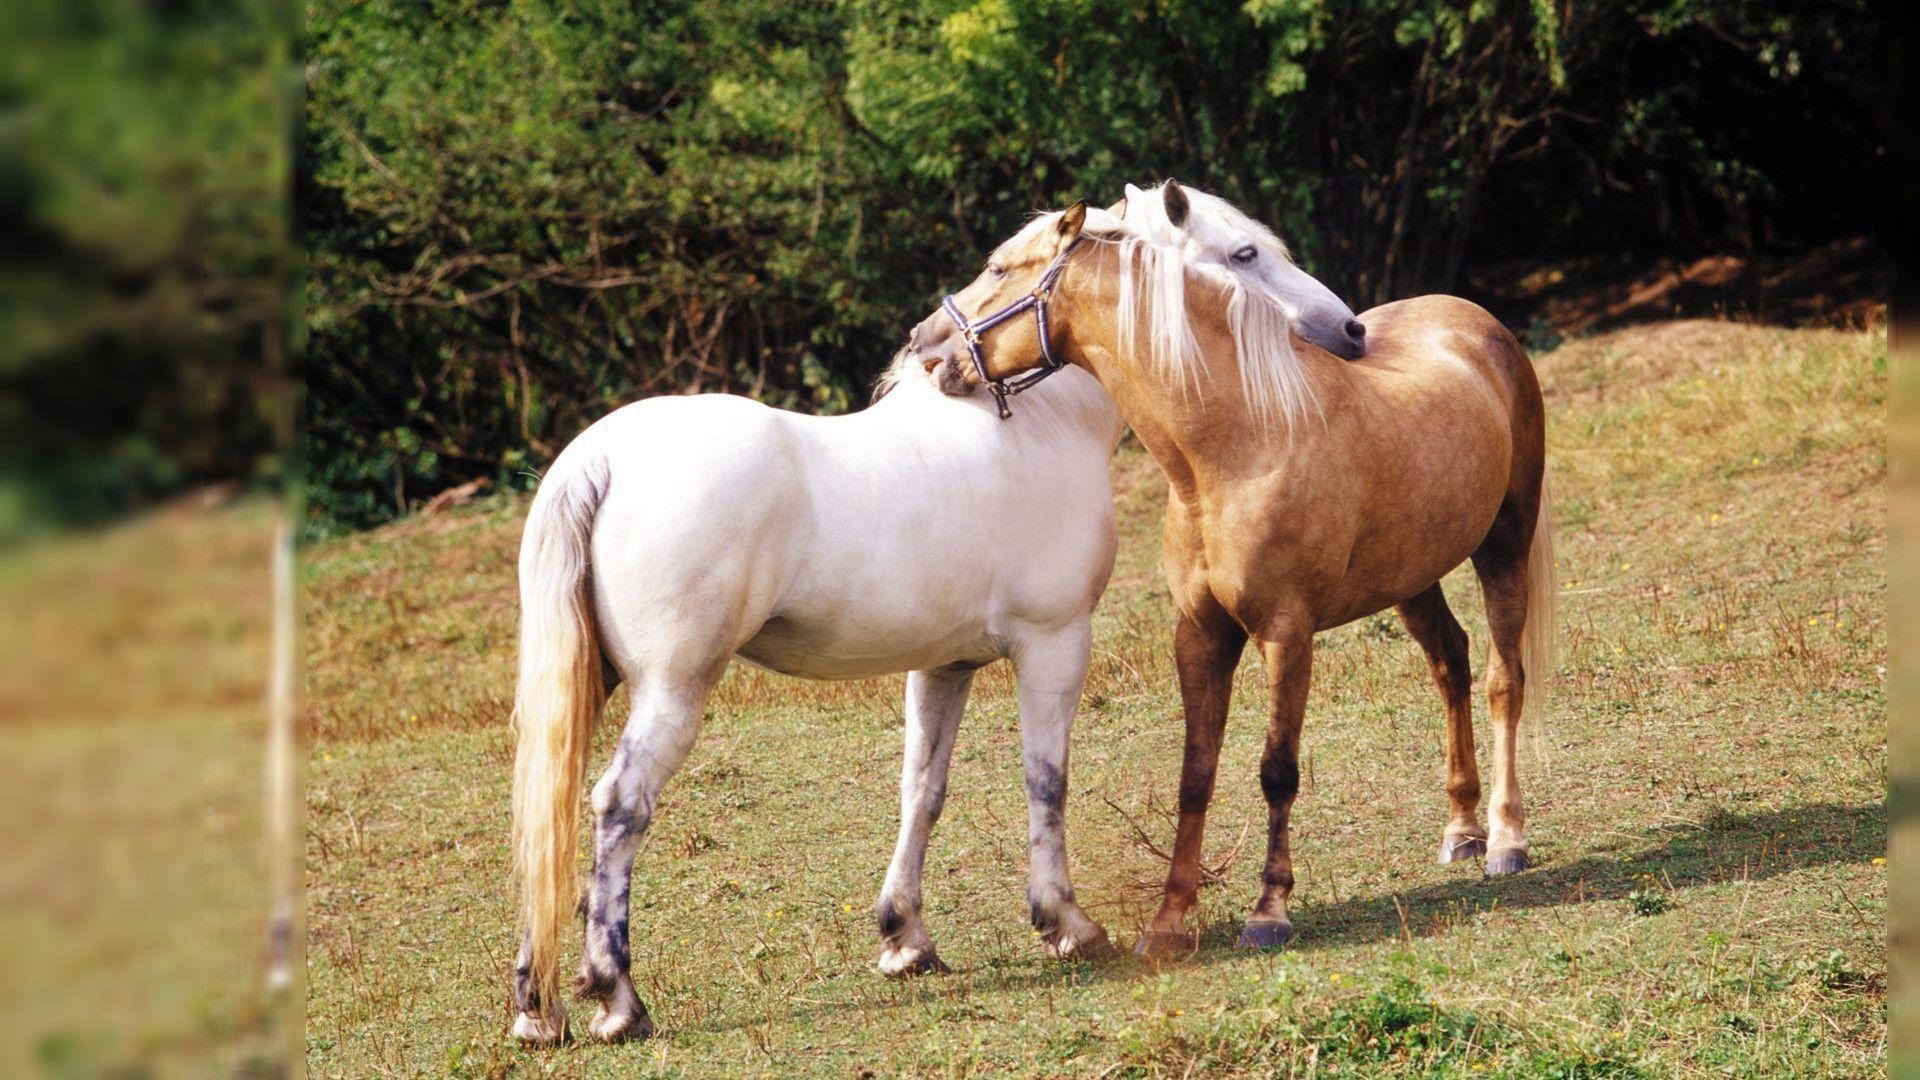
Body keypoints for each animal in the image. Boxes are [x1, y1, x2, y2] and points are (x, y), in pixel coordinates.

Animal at [504, 262, 1364, 1045]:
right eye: (1245, 253)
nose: (1349, 331)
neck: (1039, 423)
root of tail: (601, 458)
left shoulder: (944, 665)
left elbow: (922, 791)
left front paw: (906, 940)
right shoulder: (1054, 643)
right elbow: (1046, 781)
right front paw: (1066, 924)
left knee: (550, 818)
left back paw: (540, 1009)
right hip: (673, 691)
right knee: (618, 807)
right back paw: (618, 999)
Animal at [906, 194, 1555, 957]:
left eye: (1001, 267)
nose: (926, 346)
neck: (1238, 443)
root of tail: (1474, 320)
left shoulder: (1285, 634)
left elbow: (1278, 770)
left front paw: (1269, 910)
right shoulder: (1201, 635)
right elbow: (1195, 775)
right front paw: (1168, 920)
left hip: (1504, 546)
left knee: (1503, 681)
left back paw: (1506, 839)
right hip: (1411, 576)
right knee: (1451, 664)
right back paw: (1462, 830)